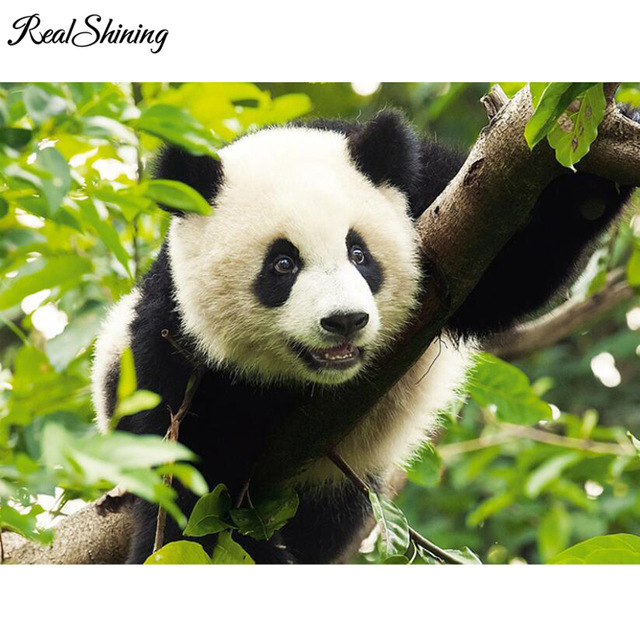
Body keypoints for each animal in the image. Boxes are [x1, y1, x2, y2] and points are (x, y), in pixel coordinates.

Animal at [92, 109, 634, 564]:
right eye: (282, 264)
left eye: (359, 253)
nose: (344, 320)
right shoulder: (173, 344)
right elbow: (190, 482)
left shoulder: (436, 193)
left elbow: (511, 269)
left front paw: (595, 160)